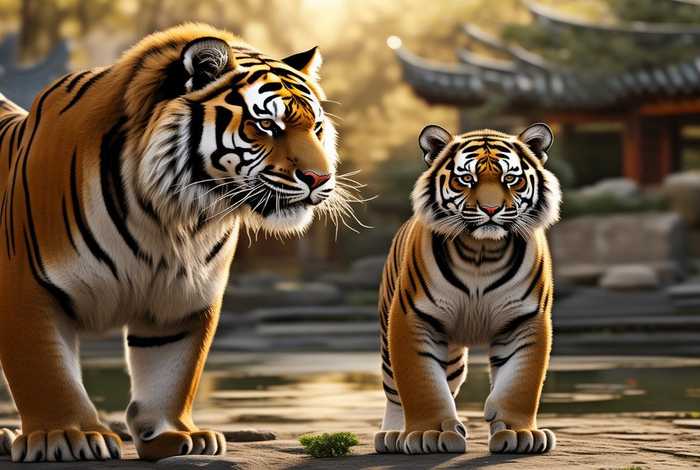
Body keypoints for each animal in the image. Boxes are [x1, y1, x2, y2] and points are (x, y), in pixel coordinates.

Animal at [0, 23, 341, 462]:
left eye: (316, 127)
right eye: (267, 126)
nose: (321, 178)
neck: (171, 216)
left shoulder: (182, 298)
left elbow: (171, 371)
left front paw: (174, 437)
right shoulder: (27, 287)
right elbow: (45, 370)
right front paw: (69, 437)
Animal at [374, 123, 561, 455]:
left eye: (510, 178)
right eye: (466, 179)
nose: (490, 208)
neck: (481, 252)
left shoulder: (525, 320)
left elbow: (521, 383)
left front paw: (519, 434)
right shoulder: (413, 318)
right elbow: (421, 383)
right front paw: (429, 434)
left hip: (451, 357)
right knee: (394, 390)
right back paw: (393, 434)